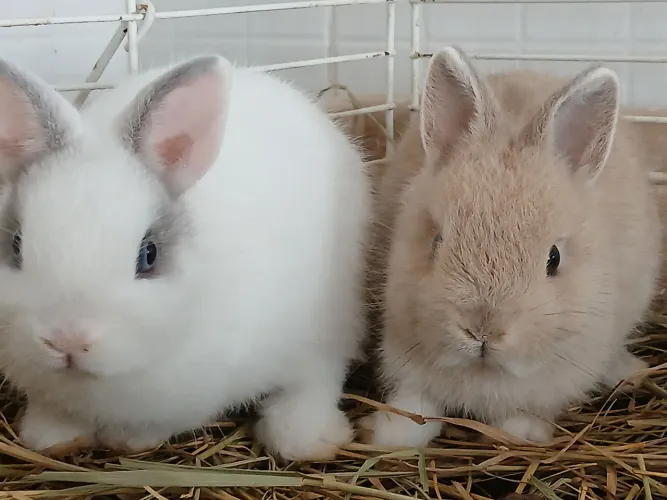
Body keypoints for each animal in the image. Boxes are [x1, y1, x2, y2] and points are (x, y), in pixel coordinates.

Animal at [0, 53, 370, 461]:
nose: (66, 341)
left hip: (331, 314)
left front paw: (127, 441)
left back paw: (308, 437)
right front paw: (50, 437)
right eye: (16, 245)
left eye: (148, 255)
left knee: (320, 375)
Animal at [361, 46, 661, 449]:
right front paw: (390, 435)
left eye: (554, 259)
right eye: (437, 240)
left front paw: (523, 432)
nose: (482, 330)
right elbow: (414, 405)